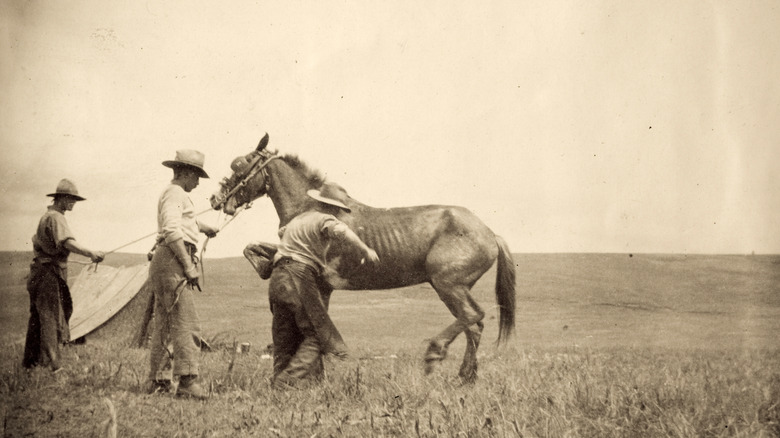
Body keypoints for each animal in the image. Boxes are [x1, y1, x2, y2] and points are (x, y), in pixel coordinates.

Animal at [210, 134, 516, 382]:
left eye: (239, 165)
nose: (216, 199)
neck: (310, 206)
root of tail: (491, 234)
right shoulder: (321, 282)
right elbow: (252, 248)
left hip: (448, 284)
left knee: (473, 316)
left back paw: (434, 355)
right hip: (456, 287)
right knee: (474, 326)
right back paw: (465, 377)